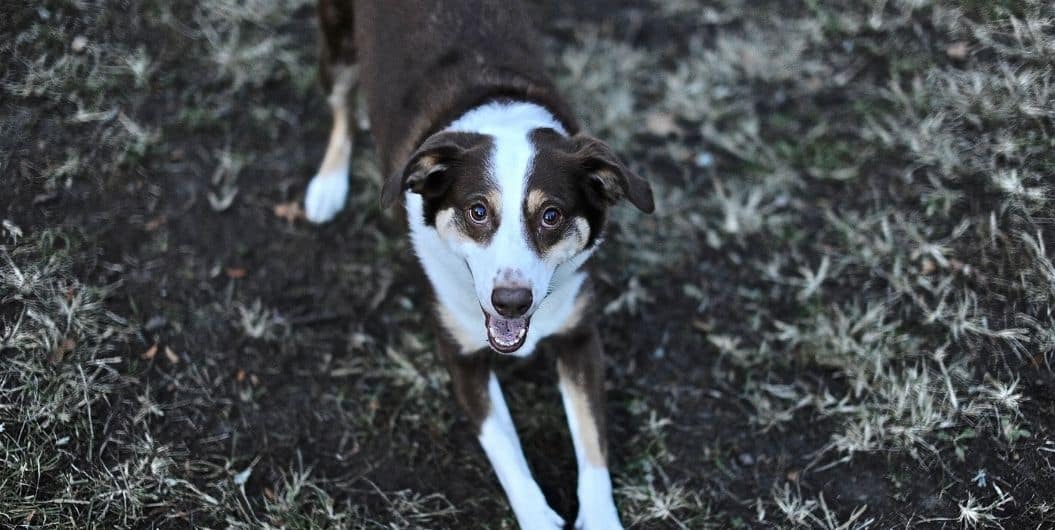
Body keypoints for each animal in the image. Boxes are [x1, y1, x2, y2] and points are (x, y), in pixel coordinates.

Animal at [303, 2, 649, 527]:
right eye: (478, 212)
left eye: (551, 216)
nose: (511, 302)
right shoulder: (462, 354)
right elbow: (505, 451)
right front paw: (538, 515)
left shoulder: (579, 336)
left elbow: (593, 445)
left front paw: (600, 517)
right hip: (336, 47)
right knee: (341, 107)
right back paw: (328, 184)